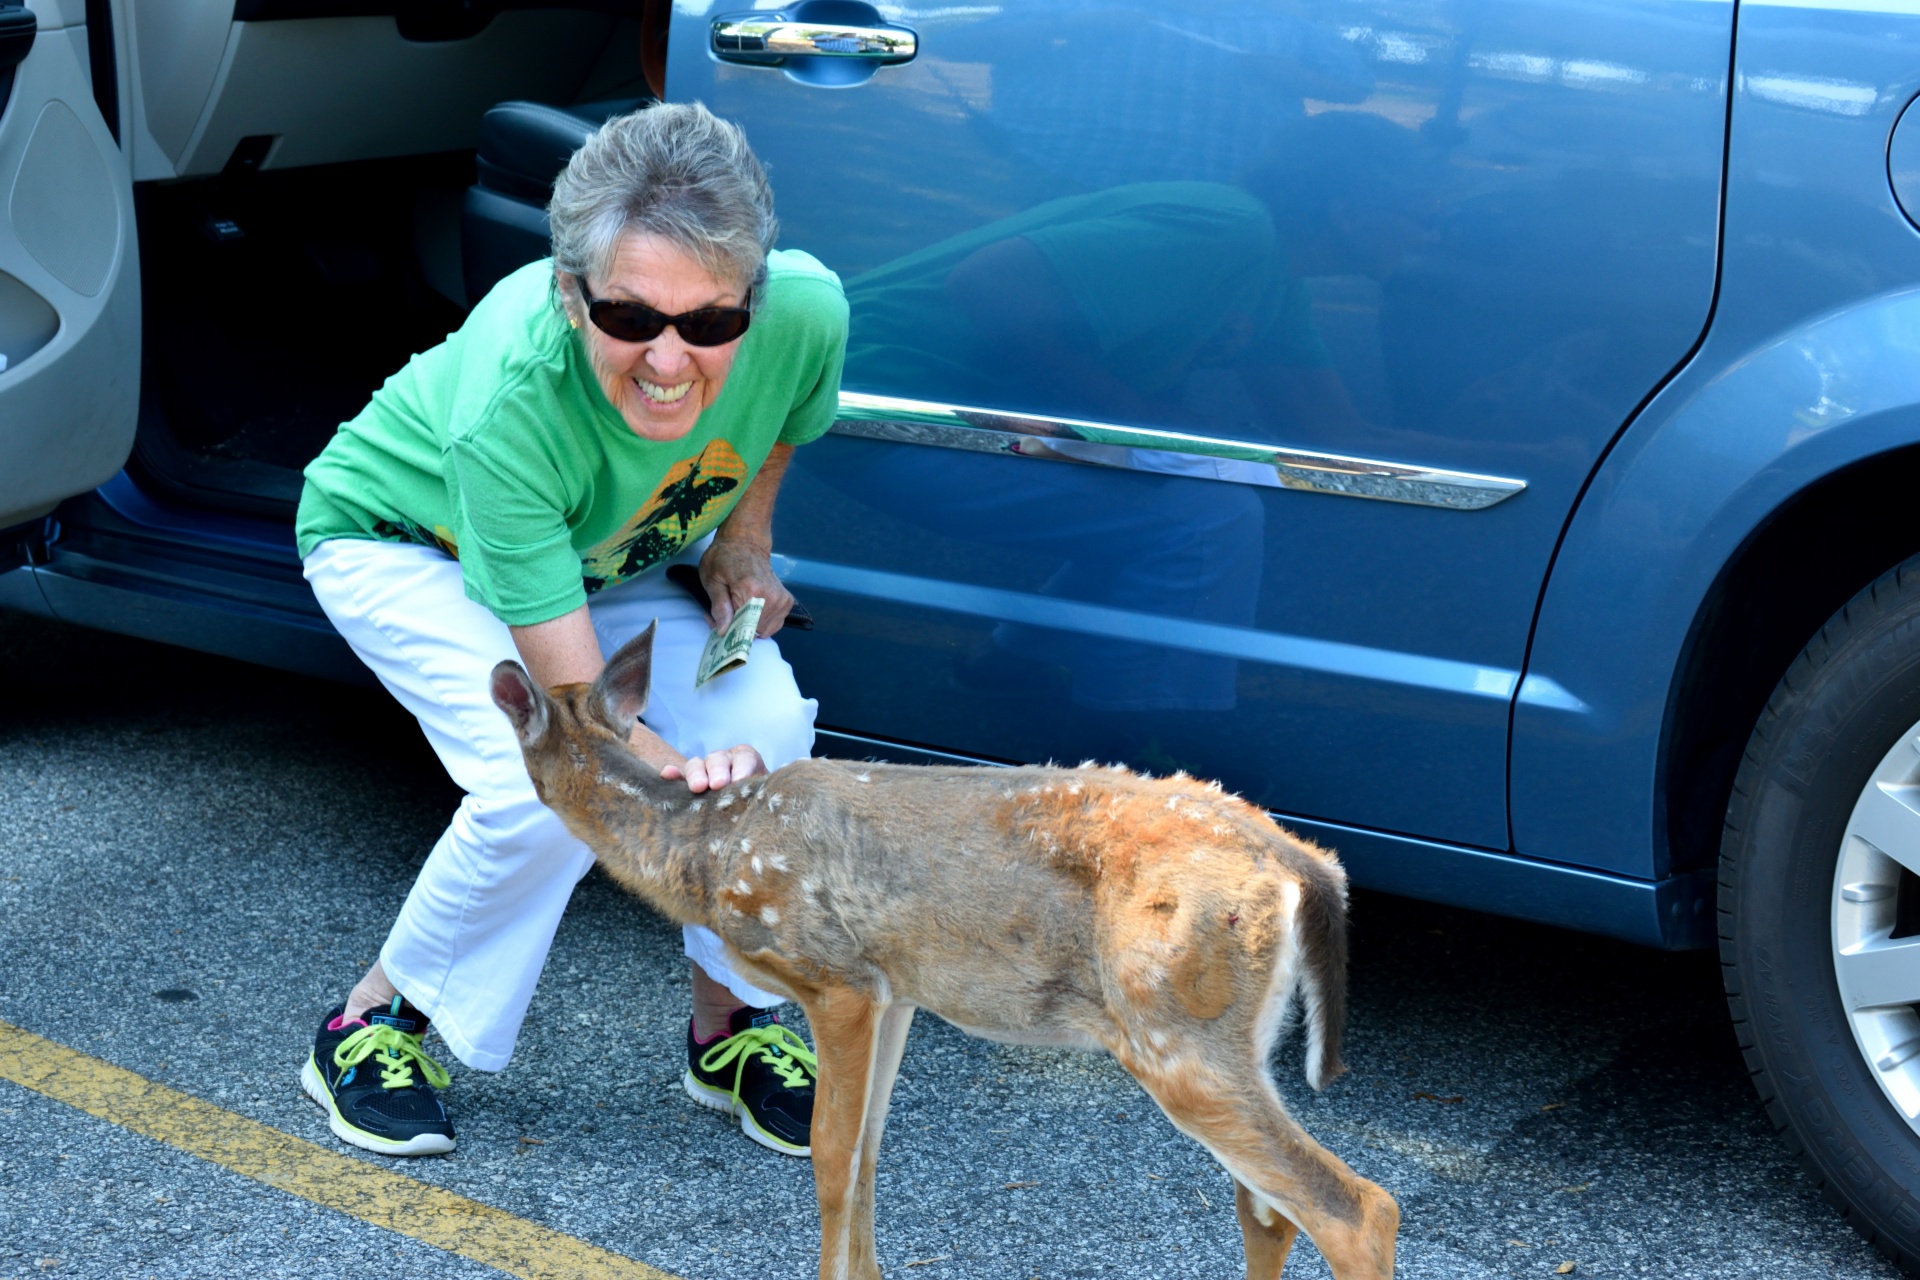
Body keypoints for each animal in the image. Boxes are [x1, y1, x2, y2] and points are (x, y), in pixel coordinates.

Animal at [487, 625, 1405, 1274]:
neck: (711, 852)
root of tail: (1302, 863)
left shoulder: (834, 975)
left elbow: (830, 1157)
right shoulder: (896, 990)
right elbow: (868, 1151)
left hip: (1173, 1025)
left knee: (1356, 1207)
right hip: (1228, 1038)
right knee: (1271, 1211)